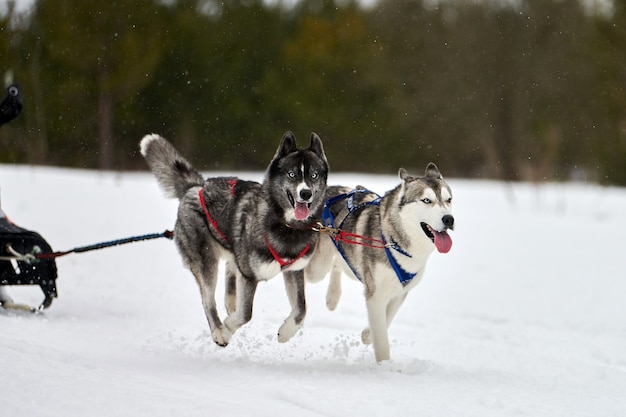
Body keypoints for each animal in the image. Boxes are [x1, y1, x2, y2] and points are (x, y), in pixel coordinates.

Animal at [141, 132, 326, 344]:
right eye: (292, 174)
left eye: (314, 175)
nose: (306, 193)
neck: (287, 226)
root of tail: (196, 187)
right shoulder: (249, 275)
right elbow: (246, 314)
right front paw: (229, 326)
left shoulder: (294, 271)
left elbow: (301, 309)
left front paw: (286, 332)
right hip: (206, 261)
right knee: (207, 299)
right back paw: (219, 331)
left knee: (230, 270)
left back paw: (231, 301)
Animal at [304, 162, 450, 360]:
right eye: (426, 200)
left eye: (449, 200)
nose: (449, 219)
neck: (394, 242)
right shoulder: (376, 295)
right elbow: (382, 340)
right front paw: (384, 363)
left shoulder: (400, 292)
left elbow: (386, 318)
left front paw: (367, 334)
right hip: (318, 268)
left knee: (338, 263)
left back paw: (332, 297)